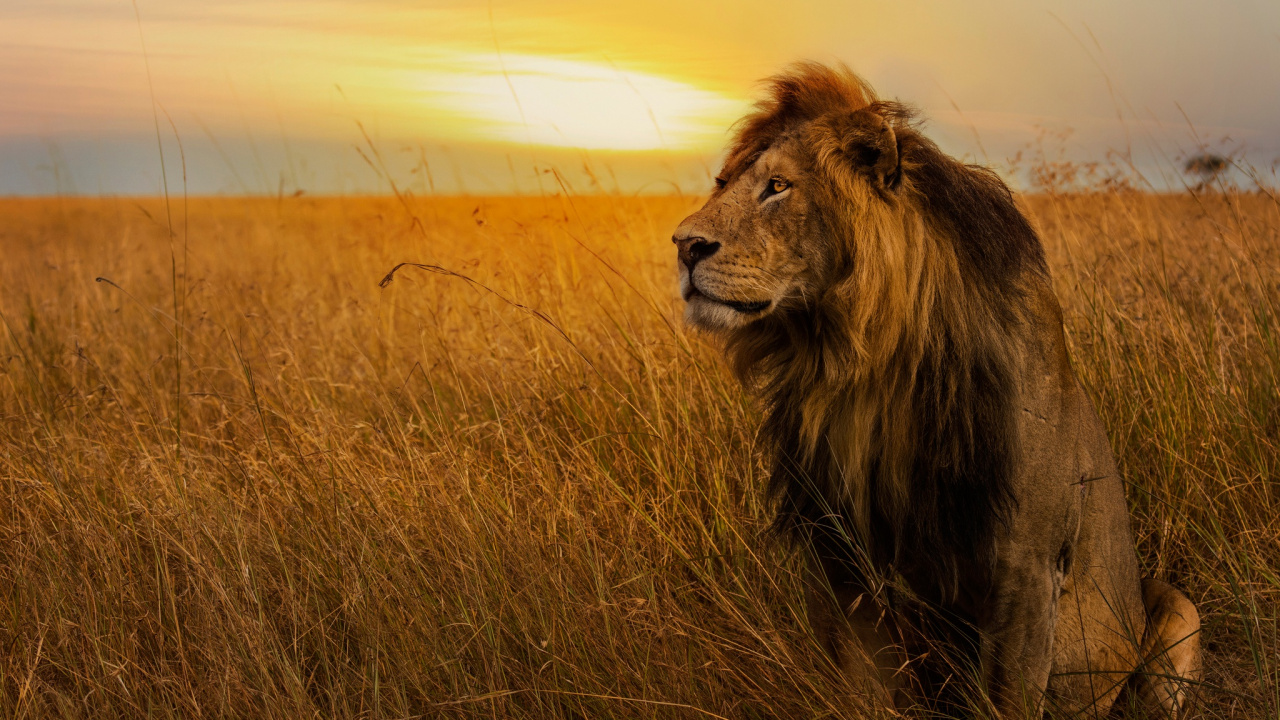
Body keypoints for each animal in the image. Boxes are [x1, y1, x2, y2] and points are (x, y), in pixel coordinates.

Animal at [673, 63, 1201, 718]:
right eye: (723, 183)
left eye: (778, 186)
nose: (684, 246)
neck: (860, 368)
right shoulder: (837, 556)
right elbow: (861, 690)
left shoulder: (1027, 567)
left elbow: (1008, 699)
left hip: (1176, 609)